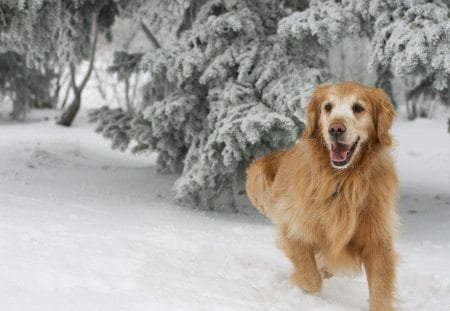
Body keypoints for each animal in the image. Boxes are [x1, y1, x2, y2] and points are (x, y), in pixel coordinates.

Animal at [248, 81, 400, 310]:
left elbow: (380, 290)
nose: (336, 129)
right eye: (328, 107)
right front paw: (303, 282)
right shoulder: (293, 226)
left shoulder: (377, 237)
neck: (342, 180)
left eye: (358, 108)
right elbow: (311, 278)